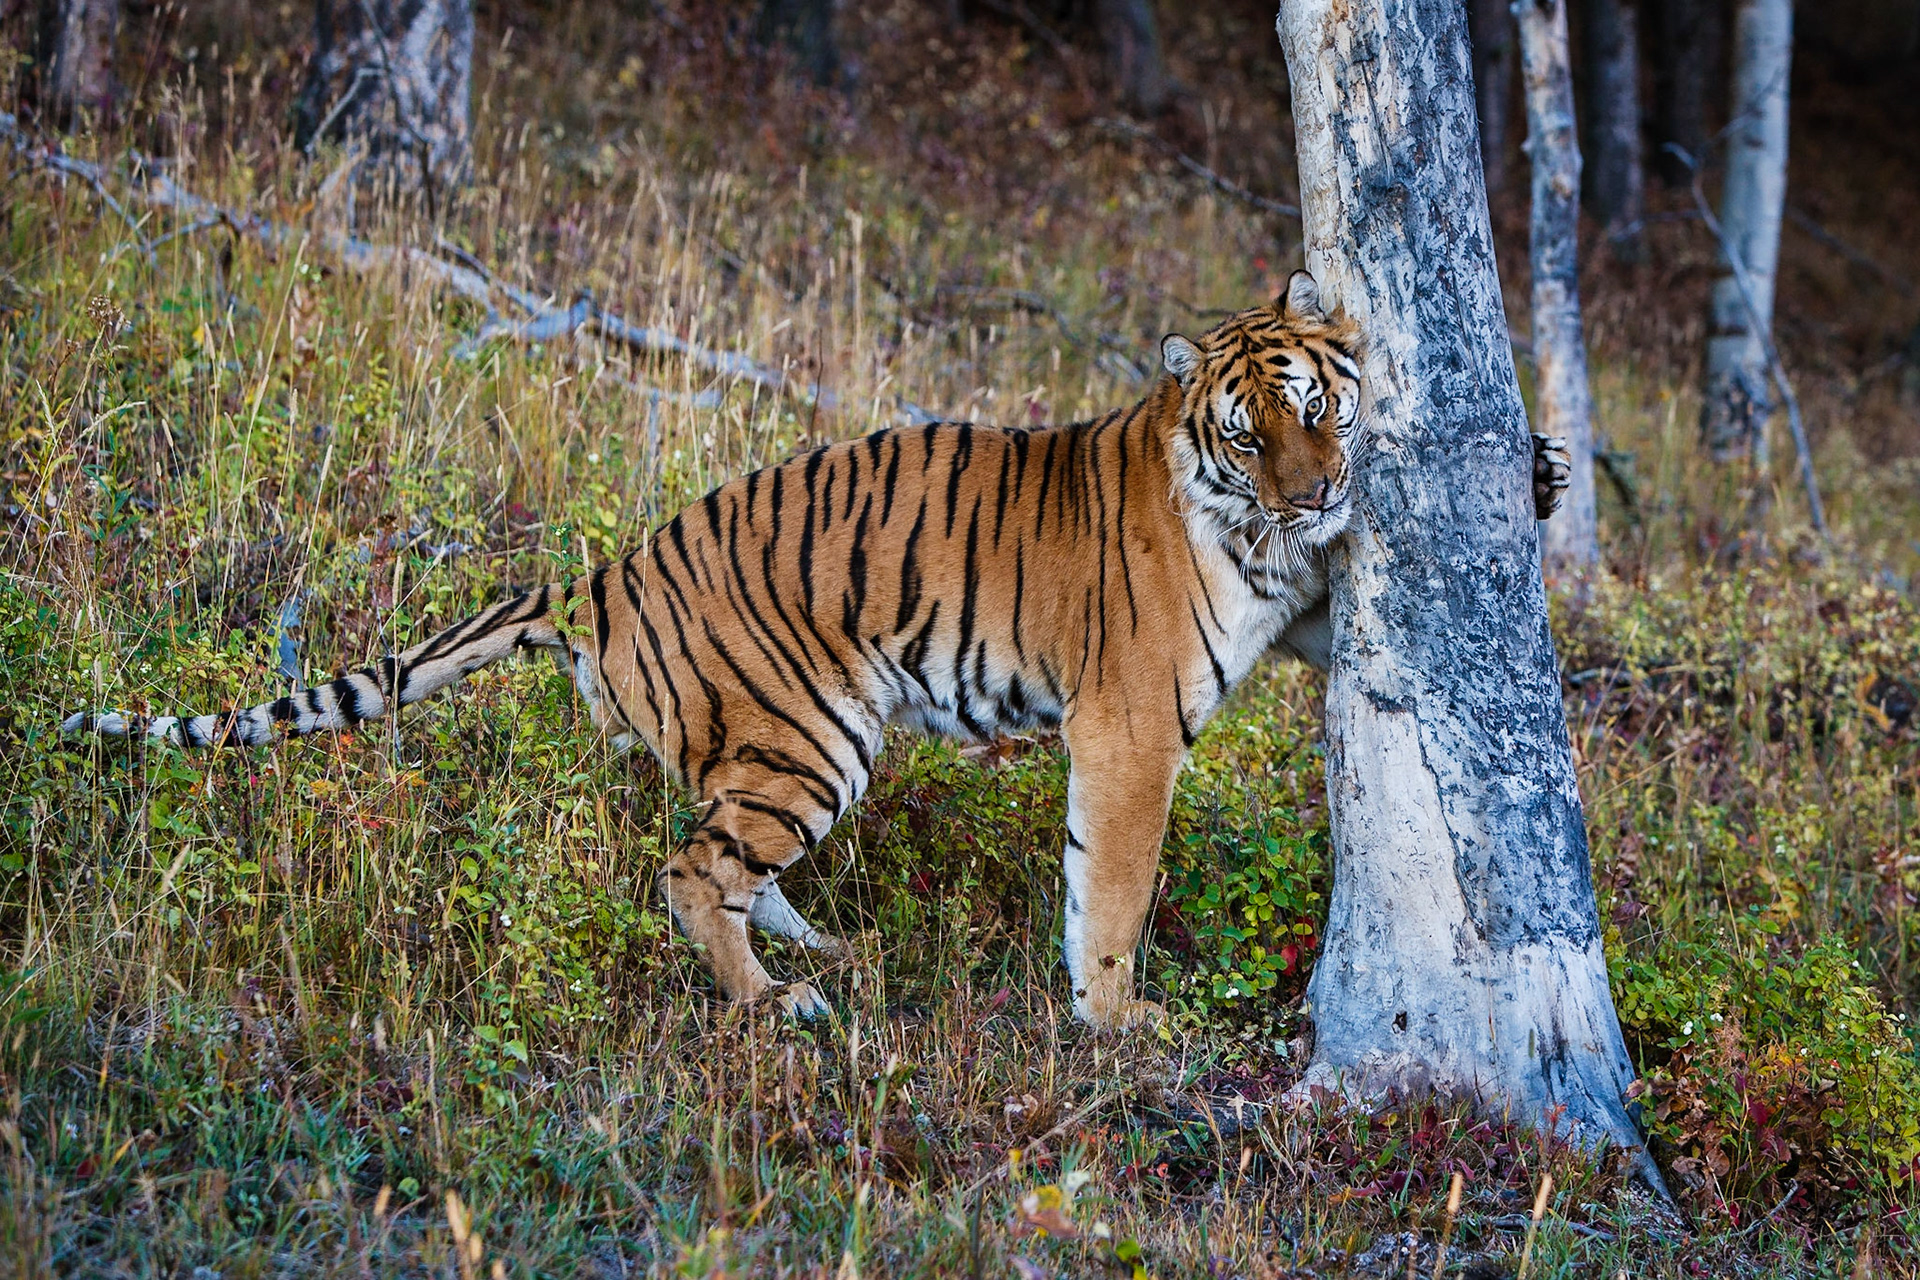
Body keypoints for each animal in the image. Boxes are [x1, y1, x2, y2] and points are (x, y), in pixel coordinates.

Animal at [65, 271, 1569, 1028]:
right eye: (1251, 434)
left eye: (1319, 407)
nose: (1314, 494)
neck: (1243, 529)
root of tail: (606, 568)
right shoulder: (1132, 723)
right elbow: (1117, 885)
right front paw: (1116, 1023)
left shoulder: (1289, 599)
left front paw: (1544, 469)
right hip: (809, 732)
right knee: (690, 872)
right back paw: (773, 1004)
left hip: (800, 749)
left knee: (726, 858)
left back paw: (823, 954)